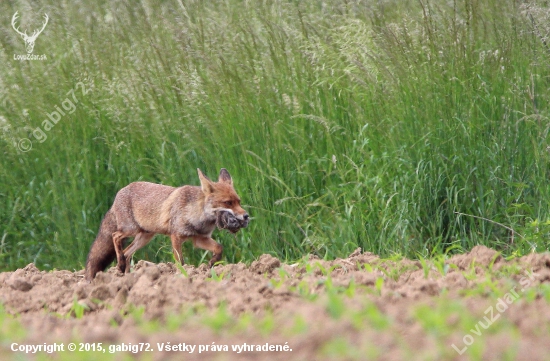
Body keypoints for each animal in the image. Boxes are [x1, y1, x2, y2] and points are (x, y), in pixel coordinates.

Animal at [85, 169, 249, 282]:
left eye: (239, 201)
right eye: (228, 202)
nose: (246, 216)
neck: (197, 215)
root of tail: (119, 193)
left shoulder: (199, 238)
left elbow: (219, 248)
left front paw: (212, 263)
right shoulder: (176, 236)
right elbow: (180, 261)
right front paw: (183, 275)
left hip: (145, 237)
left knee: (126, 253)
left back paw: (127, 276)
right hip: (130, 230)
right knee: (115, 237)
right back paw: (120, 266)